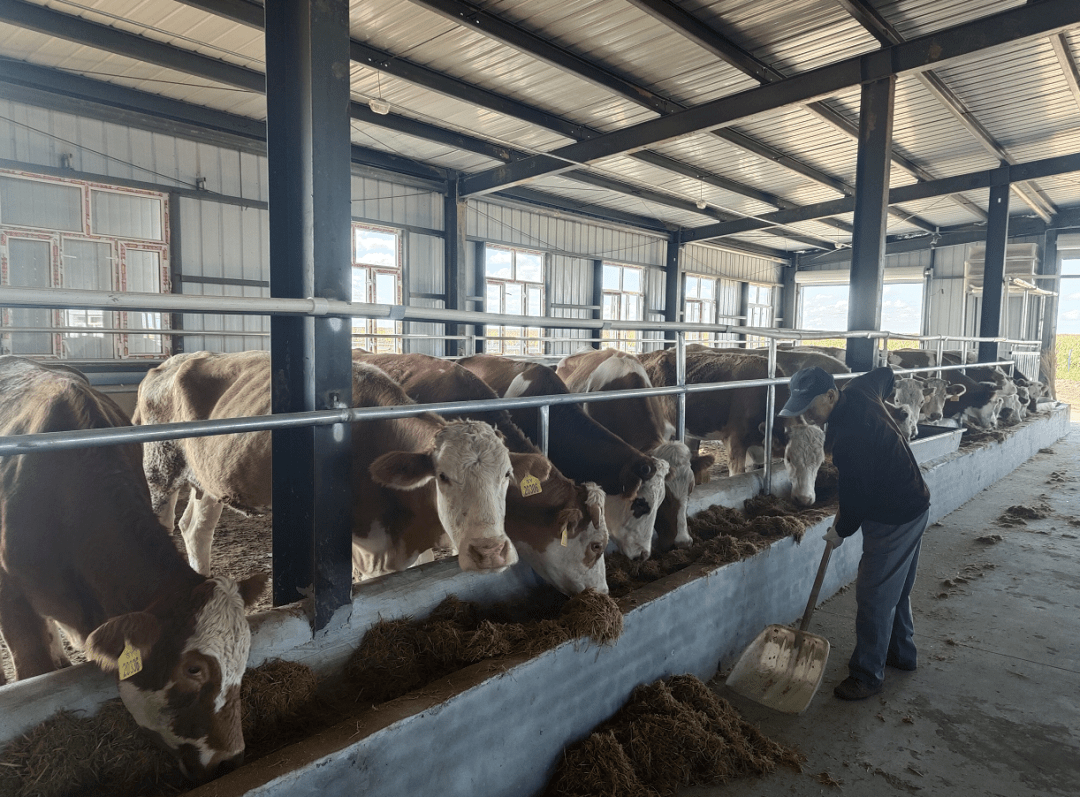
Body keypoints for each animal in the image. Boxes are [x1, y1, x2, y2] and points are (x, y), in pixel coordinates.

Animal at [135, 347, 531, 578]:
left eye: (507, 475)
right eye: (443, 477)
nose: (490, 552)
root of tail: (167, 364)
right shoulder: (366, 550)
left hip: (208, 481)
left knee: (195, 529)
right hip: (159, 469)